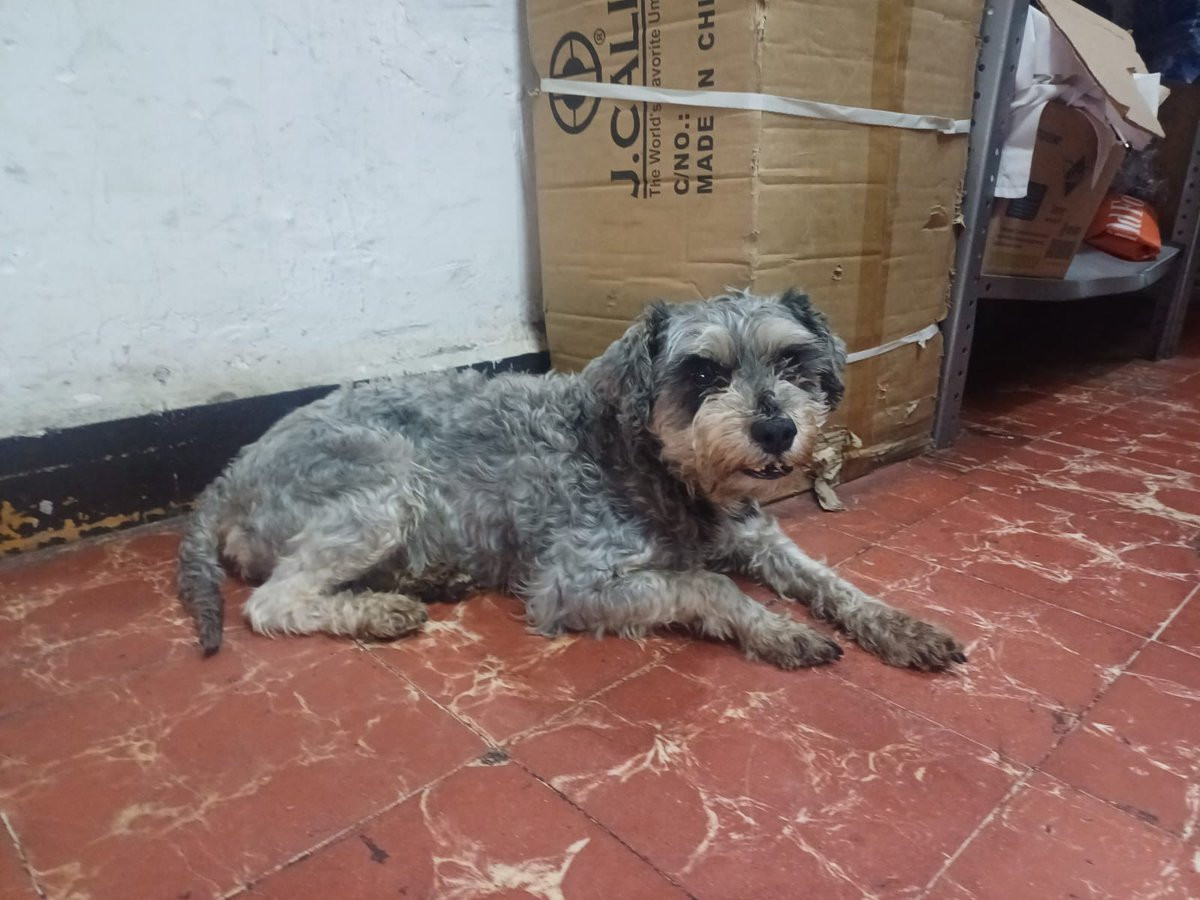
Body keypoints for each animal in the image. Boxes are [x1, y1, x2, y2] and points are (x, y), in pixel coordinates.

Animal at [178, 289, 965, 671]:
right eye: (701, 373)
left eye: (793, 361)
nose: (777, 431)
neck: (657, 470)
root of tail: (229, 474)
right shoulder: (575, 583)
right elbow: (708, 584)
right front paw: (778, 632)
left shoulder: (760, 538)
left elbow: (833, 582)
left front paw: (902, 629)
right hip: (381, 492)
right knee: (275, 602)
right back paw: (380, 612)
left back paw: (428, 581)